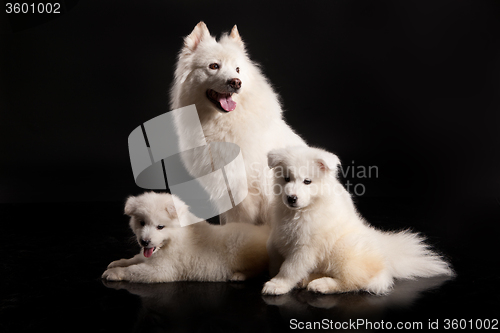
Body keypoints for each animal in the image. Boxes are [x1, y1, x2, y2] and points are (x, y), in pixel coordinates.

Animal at [102, 191, 272, 282]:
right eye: (142, 223)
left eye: (160, 227)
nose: (144, 241)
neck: (174, 239)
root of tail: (265, 232)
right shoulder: (149, 257)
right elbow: (133, 259)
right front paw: (117, 262)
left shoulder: (162, 269)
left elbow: (133, 270)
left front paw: (114, 273)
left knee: (260, 268)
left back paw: (240, 275)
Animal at [171, 22, 304, 224]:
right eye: (214, 66)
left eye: (238, 70)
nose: (236, 82)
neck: (221, 124)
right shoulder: (224, 190)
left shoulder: (247, 190)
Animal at [262, 145, 454, 294]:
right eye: (286, 179)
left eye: (307, 181)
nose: (291, 198)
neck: (301, 211)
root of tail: (386, 258)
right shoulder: (278, 236)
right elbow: (275, 257)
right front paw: (276, 275)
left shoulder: (305, 247)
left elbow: (290, 268)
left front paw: (277, 284)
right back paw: (309, 279)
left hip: (344, 249)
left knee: (352, 281)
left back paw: (322, 284)